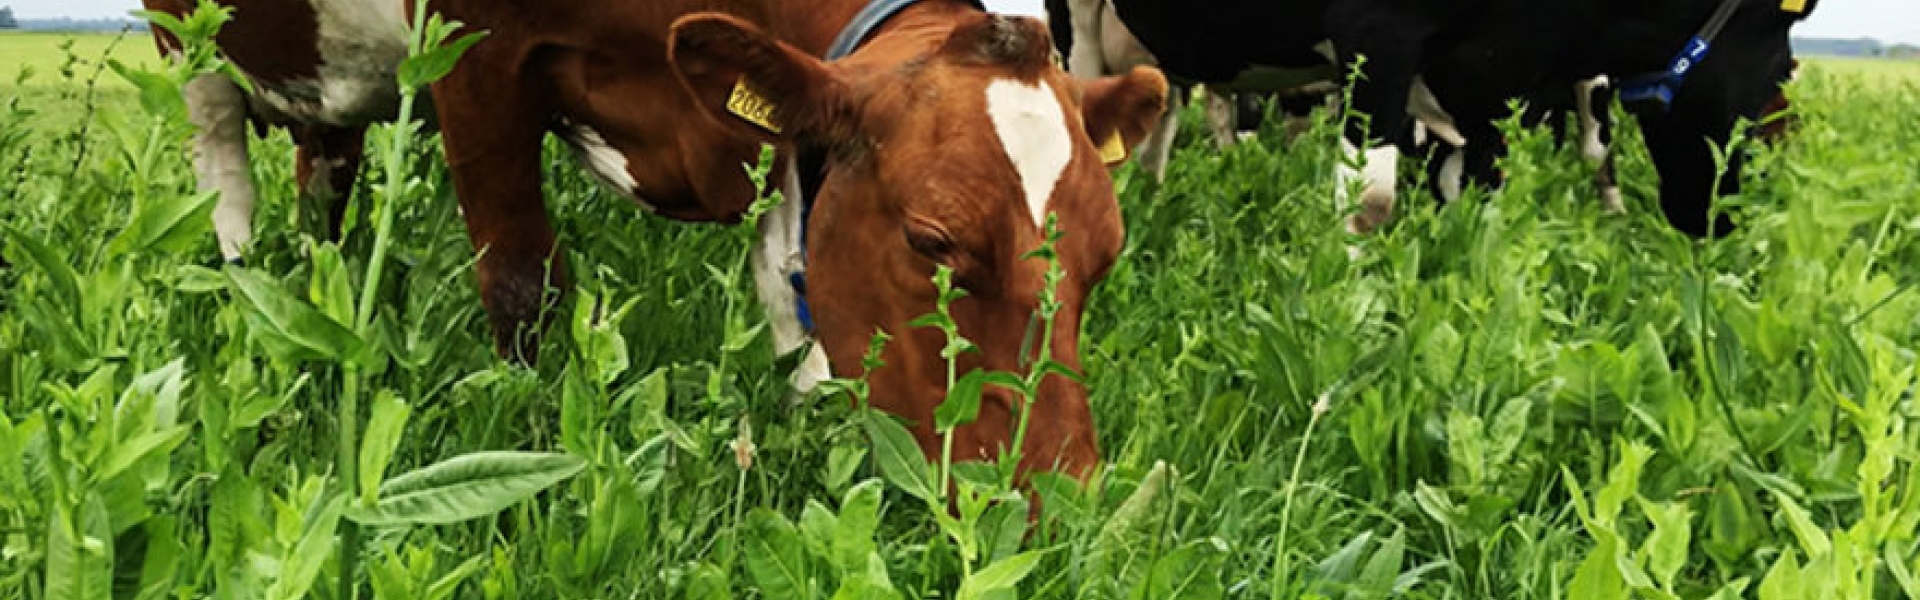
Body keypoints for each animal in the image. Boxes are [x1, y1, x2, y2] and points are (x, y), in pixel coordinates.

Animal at [141, 0, 1169, 478]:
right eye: (930, 240)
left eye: (1107, 252)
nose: (1066, 493)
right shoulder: (474, 57)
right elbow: (521, 280)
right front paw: (530, 437)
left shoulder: (761, 133)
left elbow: (789, 306)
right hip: (187, 44)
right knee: (222, 175)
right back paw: (243, 291)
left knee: (324, 175)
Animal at [1107, 0, 1814, 238]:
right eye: (1781, 68)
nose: (1722, 219)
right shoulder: (1377, 36)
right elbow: (1370, 202)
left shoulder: (1492, 88)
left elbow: (1476, 194)